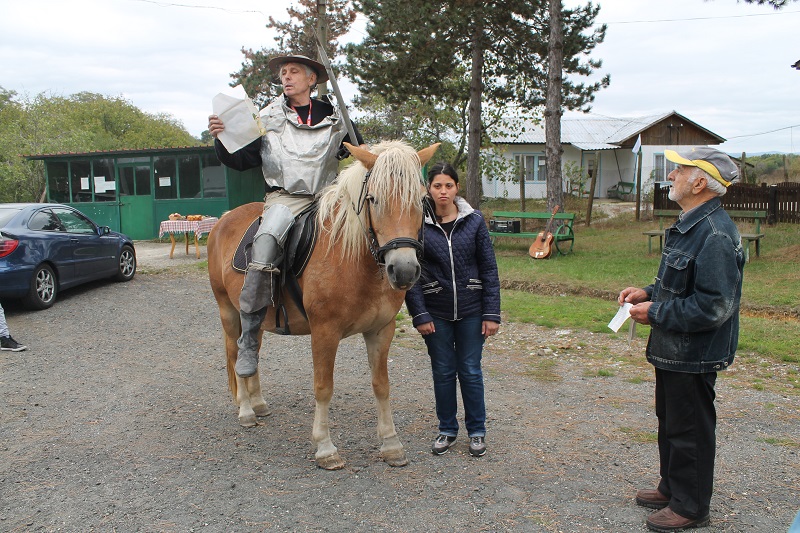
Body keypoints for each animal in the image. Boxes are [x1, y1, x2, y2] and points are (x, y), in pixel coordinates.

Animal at [206, 139, 440, 468]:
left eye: (421, 200)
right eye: (373, 199)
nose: (404, 269)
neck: (352, 256)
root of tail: (224, 219)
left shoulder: (381, 331)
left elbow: (381, 385)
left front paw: (391, 444)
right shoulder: (324, 332)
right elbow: (323, 387)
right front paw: (325, 448)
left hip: (256, 317)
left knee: (250, 351)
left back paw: (259, 403)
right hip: (228, 312)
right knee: (233, 352)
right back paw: (246, 410)